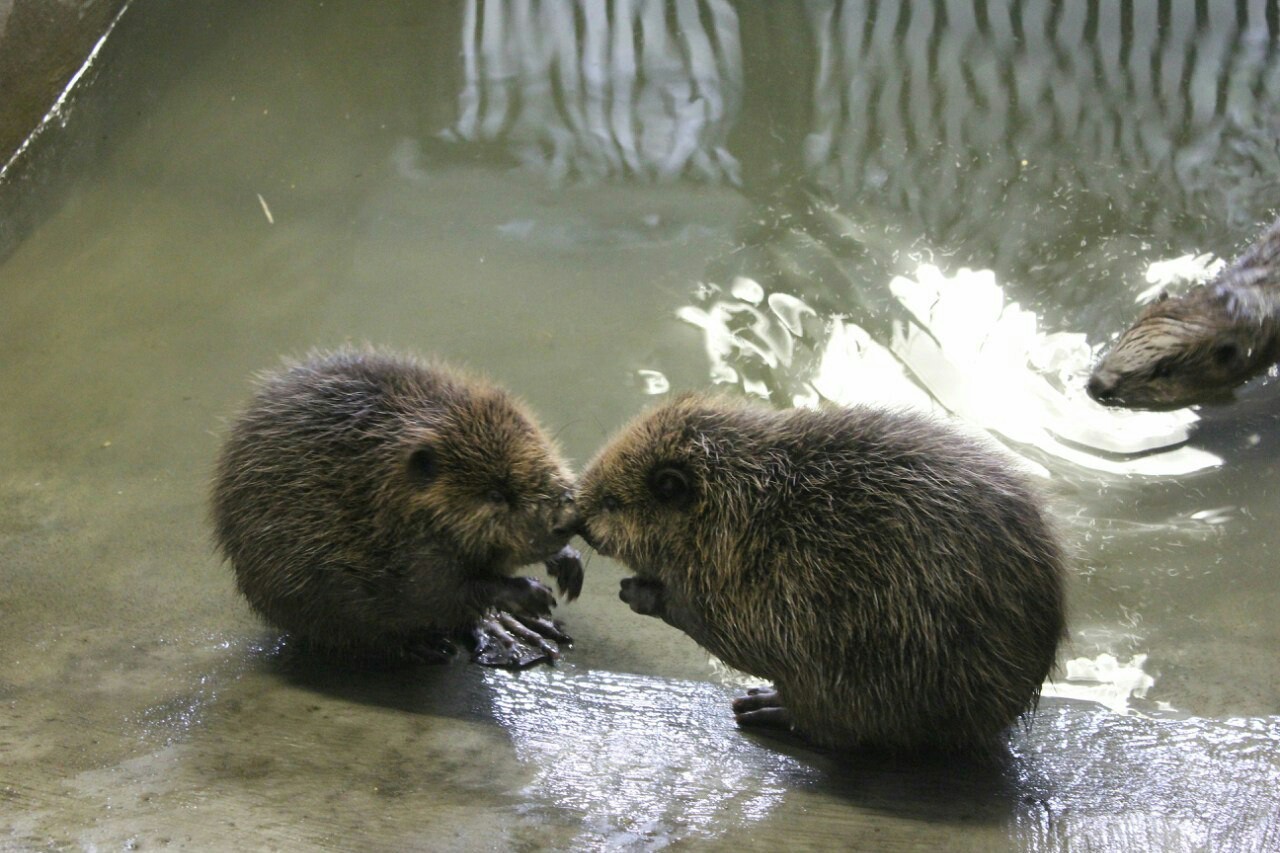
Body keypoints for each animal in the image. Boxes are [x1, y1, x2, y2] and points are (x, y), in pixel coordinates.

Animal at [212, 345, 583, 666]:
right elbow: (439, 591)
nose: (561, 523)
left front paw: (568, 566)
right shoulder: (397, 547)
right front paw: (534, 594)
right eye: (496, 494)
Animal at [576, 394, 1064, 753]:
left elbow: (742, 632)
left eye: (611, 503)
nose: (578, 519)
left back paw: (767, 708)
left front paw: (641, 592)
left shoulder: (771, 578)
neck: (750, 503)